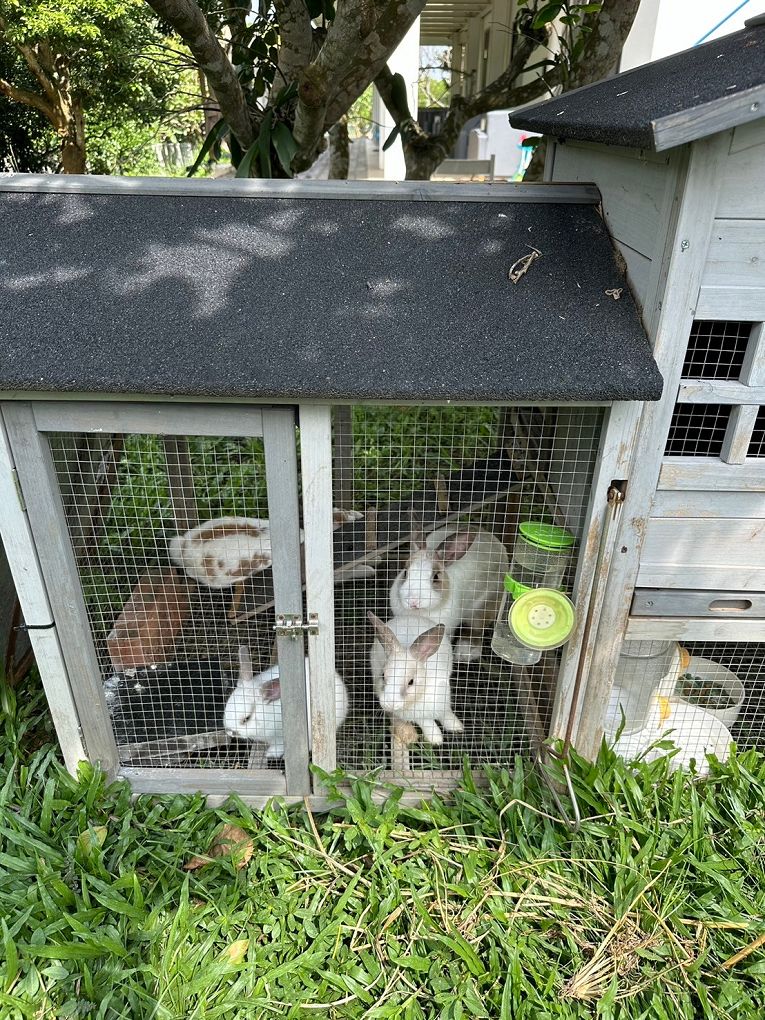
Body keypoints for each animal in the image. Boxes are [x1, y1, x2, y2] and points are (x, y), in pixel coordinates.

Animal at [369, 607, 465, 746]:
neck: (419, 697)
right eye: (382, 676)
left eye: (411, 682)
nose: (390, 704)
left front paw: (456, 726)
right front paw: (436, 739)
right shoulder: (418, 716)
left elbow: (446, 712)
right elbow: (427, 722)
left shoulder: (443, 699)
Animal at [391, 526, 512, 660]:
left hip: (483, 607)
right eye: (405, 572)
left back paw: (464, 653)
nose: (413, 602)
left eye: (436, 577)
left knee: (475, 630)